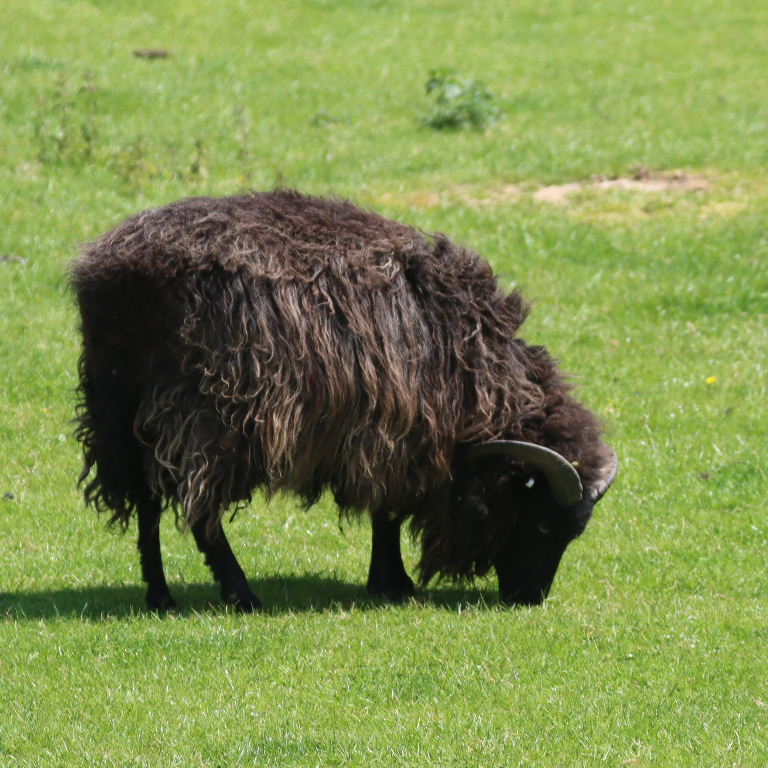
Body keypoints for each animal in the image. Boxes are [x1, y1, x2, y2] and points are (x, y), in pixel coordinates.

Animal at [71, 189, 617, 610]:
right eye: (543, 525)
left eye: (574, 533)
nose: (530, 597)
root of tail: (117, 272)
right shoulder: (398, 428)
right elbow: (388, 510)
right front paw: (392, 582)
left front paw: (390, 580)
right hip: (214, 412)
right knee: (201, 507)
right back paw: (239, 592)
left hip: (122, 411)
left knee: (146, 499)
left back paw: (160, 595)